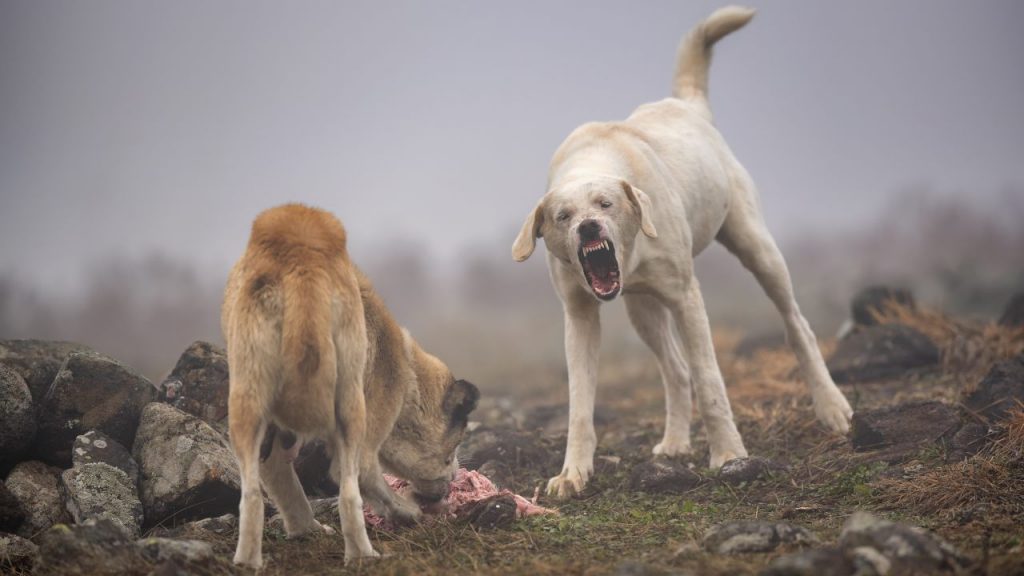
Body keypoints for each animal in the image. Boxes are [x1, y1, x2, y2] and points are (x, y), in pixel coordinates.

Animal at [222, 202, 477, 565]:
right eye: (451, 452)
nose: (456, 477)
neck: (409, 382)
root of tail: (300, 264)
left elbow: (280, 480)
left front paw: (305, 530)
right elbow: (366, 476)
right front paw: (406, 512)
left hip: (246, 400)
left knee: (252, 496)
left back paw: (248, 561)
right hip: (352, 407)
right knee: (348, 492)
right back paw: (364, 555)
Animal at [512, 6, 856, 496]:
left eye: (605, 203)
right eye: (563, 215)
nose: (588, 227)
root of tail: (687, 105)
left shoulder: (686, 297)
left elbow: (710, 381)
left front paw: (729, 455)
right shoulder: (579, 315)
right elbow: (580, 404)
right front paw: (572, 473)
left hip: (757, 248)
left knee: (797, 327)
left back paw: (831, 407)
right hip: (642, 309)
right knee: (674, 369)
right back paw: (674, 443)